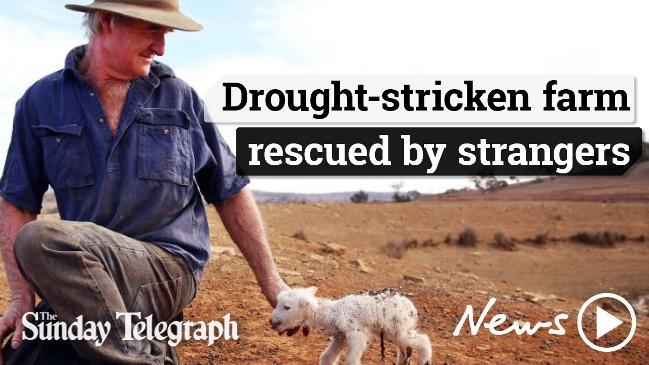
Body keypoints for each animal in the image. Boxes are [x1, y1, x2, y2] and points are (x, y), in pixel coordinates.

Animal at [268, 288, 430, 364]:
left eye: (287, 307)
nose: (271, 321)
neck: (334, 312)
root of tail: (411, 307)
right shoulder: (340, 337)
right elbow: (327, 358)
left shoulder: (357, 336)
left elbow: (351, 361)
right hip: (395, 331)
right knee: (406, 349)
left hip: (397, 329)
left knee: (423, 340)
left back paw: (425, 361)